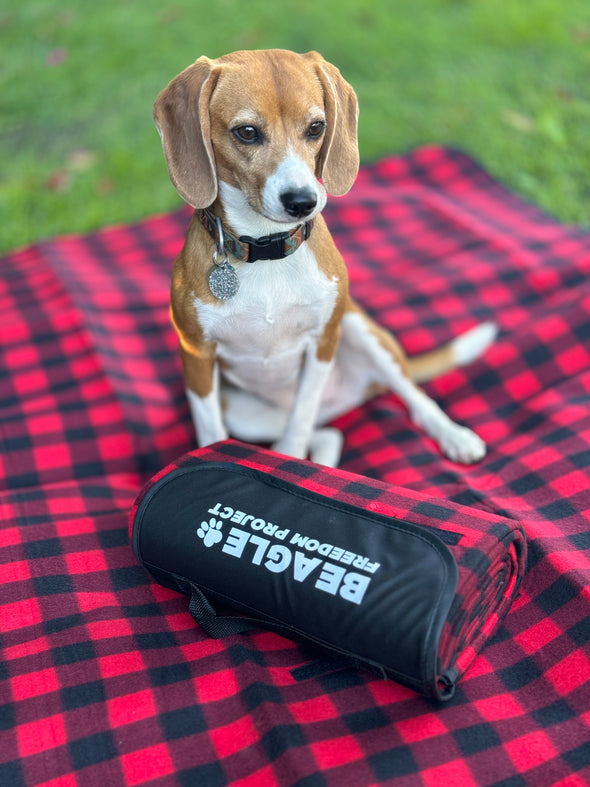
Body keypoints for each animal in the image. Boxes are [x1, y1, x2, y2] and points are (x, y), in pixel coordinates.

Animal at [155, 50, 498, 468]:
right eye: (247, 132)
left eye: (316, 127)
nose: (303, 201)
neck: (266, 250)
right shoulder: (197, 354)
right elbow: (212, 434)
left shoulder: (322, 342)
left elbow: (301, 418)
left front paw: (288, 459)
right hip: (245, 413)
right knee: (328, 435)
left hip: (359, 328)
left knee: (413, 399)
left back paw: (453, 435)